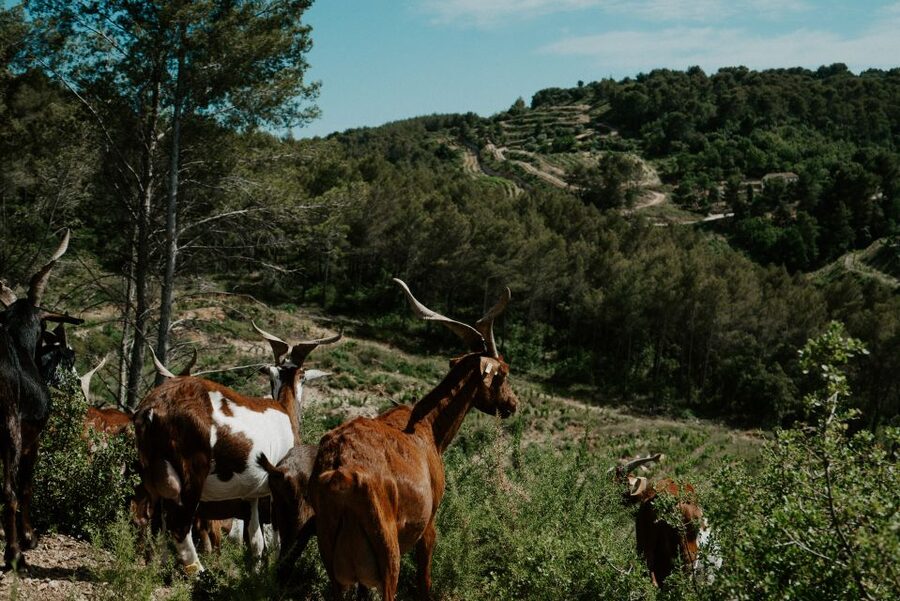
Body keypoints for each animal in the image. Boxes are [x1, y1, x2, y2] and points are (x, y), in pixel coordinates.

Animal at [133, 323, 340, 573]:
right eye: (303, 376)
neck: (283, 410)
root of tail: (153, 408)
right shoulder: (276, 489)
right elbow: (276, 537)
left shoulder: (251, 495)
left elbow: (255, 539)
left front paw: (256, 569)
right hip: (192, 475)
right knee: (179, 527)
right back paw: (200, 572)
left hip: (154, 475)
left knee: (157, 522)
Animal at [307, 278, 518, 600]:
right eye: (502, 373)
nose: (513, 404)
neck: (427, 429)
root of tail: (341, 474)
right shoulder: (429, 524)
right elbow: (424, 581)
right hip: (388, 554)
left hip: (332, 558)